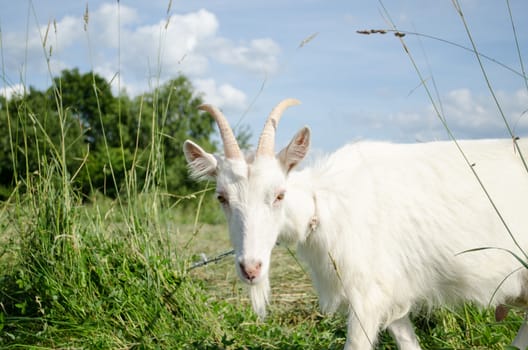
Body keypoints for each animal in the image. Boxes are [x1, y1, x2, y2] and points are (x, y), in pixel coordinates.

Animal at [184, 99, 528, 350]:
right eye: (221, 197)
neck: (324, 204)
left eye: (279, 194)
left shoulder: (367, 293)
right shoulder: (391, 292)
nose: (251, 268)